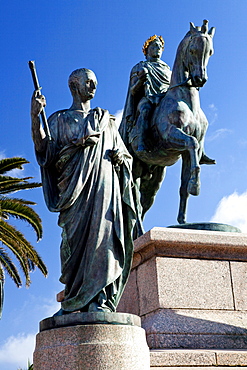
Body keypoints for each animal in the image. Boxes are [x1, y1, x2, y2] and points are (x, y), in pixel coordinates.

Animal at [124, 20, 215, 233]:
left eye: (210, 52)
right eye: (193, 49)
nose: (199, 79)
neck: (187, 101)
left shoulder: (189, 152)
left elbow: (183, 186)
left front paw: (182, 220)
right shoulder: (171, 136)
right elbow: (191, 142)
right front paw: (196, 186)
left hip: (154, 177)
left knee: (144, 202)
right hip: (134, 168)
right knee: (135, 201)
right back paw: (139, 232)